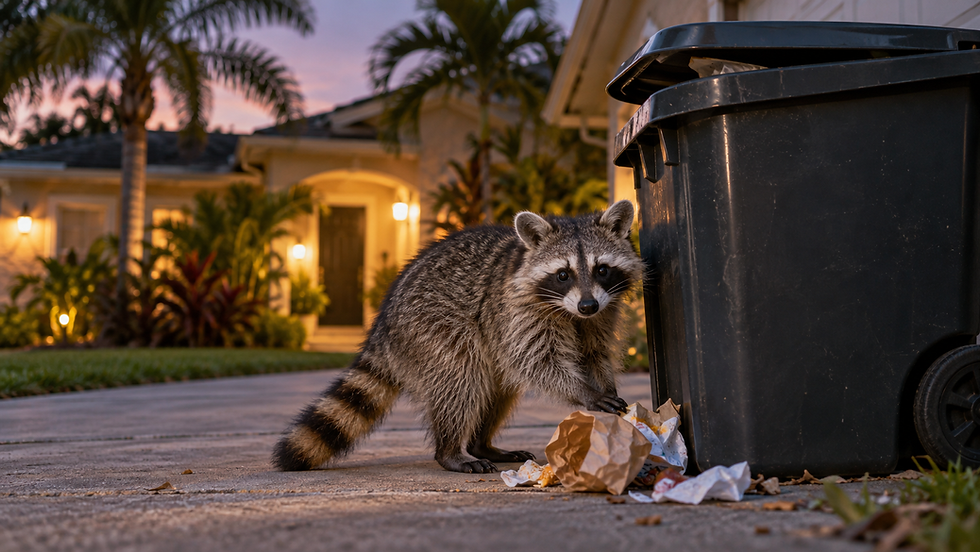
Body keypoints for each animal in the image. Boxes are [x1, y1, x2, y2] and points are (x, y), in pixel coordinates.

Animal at [273, 199, 644, 473]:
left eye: (602, 269)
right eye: (563, 274)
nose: (587, 305)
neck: (571, 312)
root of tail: (383, 323)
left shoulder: (601, 313)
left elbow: (594, 353)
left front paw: (604, 385)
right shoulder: (518, 313)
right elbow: (537, 361)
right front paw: (584, 392)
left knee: (497, 390)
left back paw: (483, 444)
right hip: (432, 326)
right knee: (461, 378)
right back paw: (450, 450)